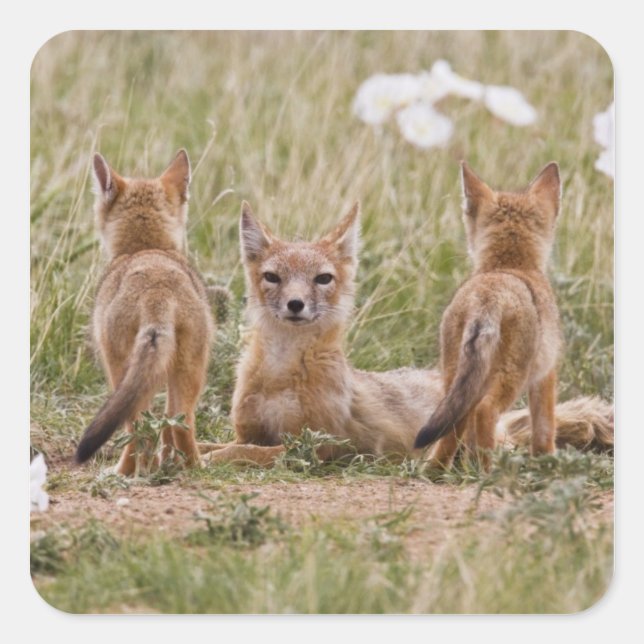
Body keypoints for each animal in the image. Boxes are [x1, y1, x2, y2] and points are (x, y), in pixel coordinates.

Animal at [75, 149, 214, 475]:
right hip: (189, 370)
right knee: (180, 422)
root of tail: (156, 289)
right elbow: (165, 427)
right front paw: (165, 463)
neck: (146, 249)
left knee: (136, 427)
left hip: (120, 372)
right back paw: (192, 468)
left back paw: (123, 472)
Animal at [200, 199, 612, 467]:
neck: (280, 374)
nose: (296, 304)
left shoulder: (316, 445)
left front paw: (211, 460)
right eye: (273, 277)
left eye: (322, 279)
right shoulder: (249, 432)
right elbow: (214, 443)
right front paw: (191, 454)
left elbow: (242, 453)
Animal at [414, 162, 563, 468]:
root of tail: (487, 297)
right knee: (485, 411)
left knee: (454, 427)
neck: (510, 266)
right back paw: (487, 469)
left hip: (455, 379)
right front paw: (548, 462)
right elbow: (545, 429)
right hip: (511, 379)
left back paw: (436, 470)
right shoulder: (546, 374)